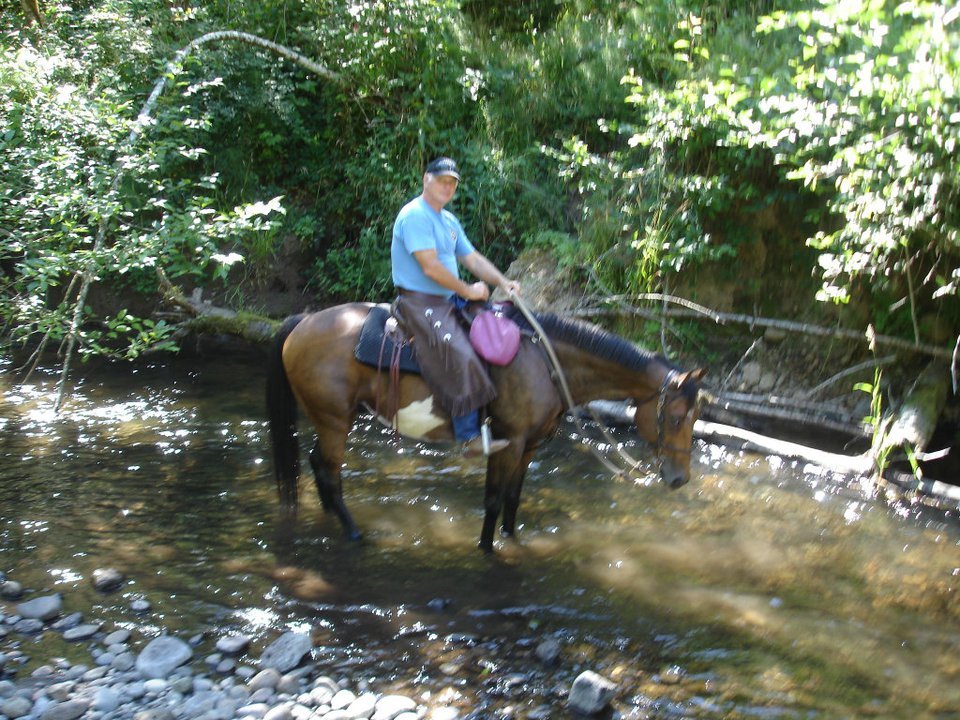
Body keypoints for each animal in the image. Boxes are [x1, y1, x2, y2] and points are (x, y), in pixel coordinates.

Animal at [266, 302, 706, 552]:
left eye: (695, 417)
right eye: (676, 417)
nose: (679, 478)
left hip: (331, 419)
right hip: (334, 420)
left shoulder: (529, 446)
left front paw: (512, 541)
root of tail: (304, 321)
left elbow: (512, 499)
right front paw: (486, 549)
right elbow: (493, 500)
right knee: (329, 472)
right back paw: (355, 534)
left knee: (317, 464)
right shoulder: (507, 441)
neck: (544, 363)